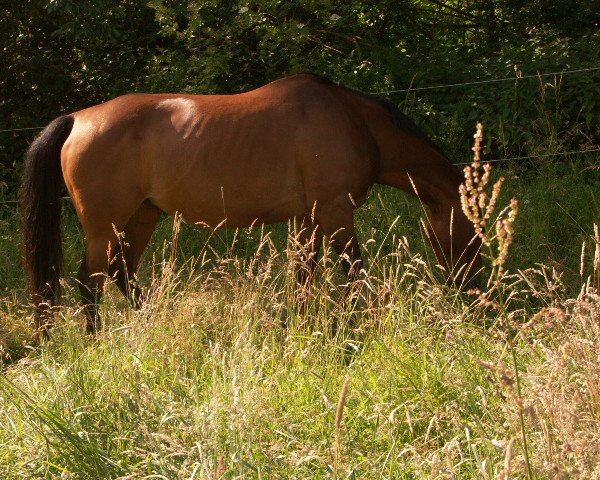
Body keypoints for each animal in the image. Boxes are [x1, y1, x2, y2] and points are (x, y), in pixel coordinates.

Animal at [21, 73, 482, 340]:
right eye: (475, 235)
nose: (475, 295)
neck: (355, 122)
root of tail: (78, 119)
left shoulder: (309, 218)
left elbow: (304, 276)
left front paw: (301, 330)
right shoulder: (334, 211)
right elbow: (355, 273)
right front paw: (367, 327)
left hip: (141, 216)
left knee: (122, 271)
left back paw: (150, 322)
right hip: (105, 225)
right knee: (89, 282)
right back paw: (94, 344)